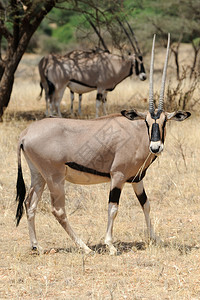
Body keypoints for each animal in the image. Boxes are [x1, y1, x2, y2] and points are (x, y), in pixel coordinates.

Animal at [16, 35, 191, 255]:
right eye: (146, 121)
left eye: (164, 121)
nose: (155, 147)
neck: (135, 133)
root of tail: (25, 134)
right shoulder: (118, 176)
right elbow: (113, 208)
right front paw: (110, 244)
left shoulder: (137, 179)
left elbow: (146, 204)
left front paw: (155, 238)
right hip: (55, 178)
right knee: (58, 210)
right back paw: (84, 247)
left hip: (38, 176)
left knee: (29, 204)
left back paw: (36, 245)